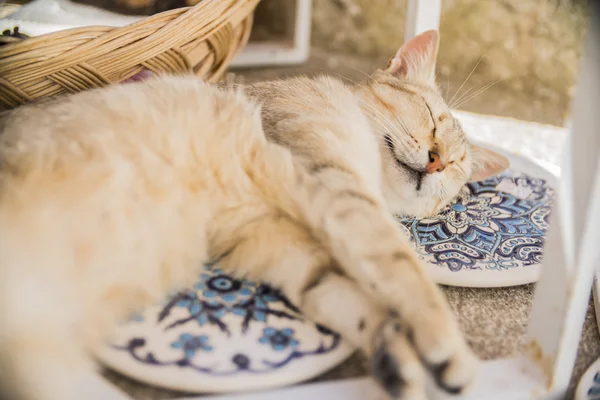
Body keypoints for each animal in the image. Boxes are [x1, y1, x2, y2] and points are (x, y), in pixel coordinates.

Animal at [0, 29, 506, 398]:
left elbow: (346, 297)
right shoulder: (338, 189)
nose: (438, 162)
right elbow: (404, 271)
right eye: (431, 118)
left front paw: (395, 355)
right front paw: (449, 348)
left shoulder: (276, 242)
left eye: (457, 168)